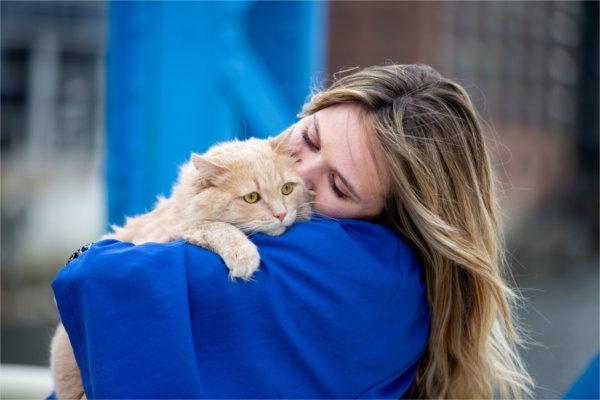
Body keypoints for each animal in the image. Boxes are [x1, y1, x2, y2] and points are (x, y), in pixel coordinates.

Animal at [49, 136, 312, 398]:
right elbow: (213, 226)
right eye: (251, 198)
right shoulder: (170, 231)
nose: (282, 214)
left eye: (287, 189)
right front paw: (243, 254)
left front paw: (305, 211)